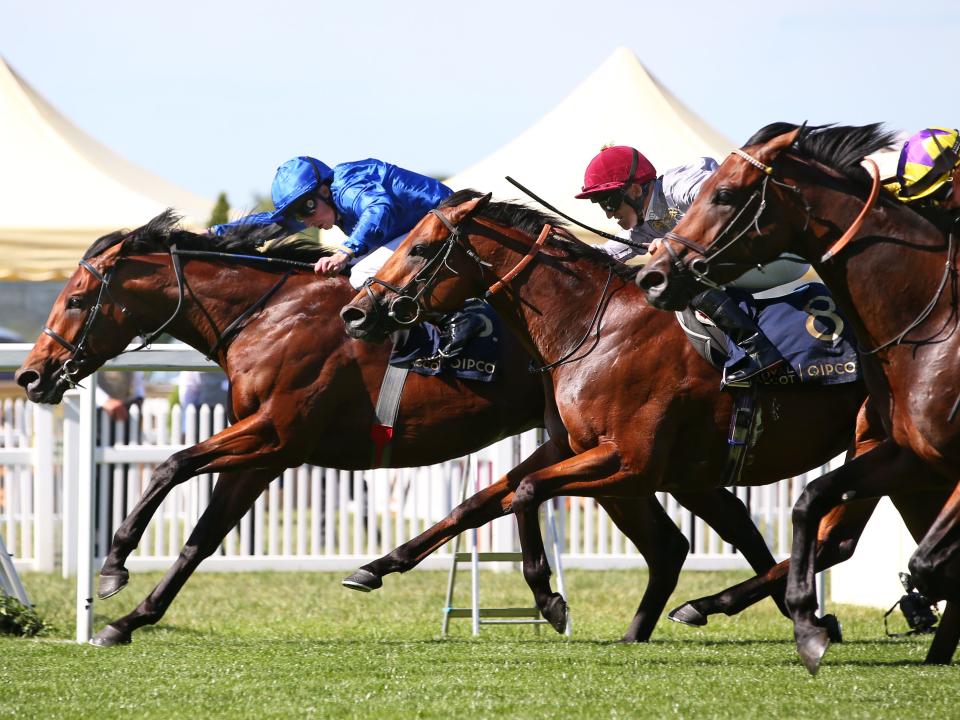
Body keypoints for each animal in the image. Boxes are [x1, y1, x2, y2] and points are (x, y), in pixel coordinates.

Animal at [15, 210, 792, 648]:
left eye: (77, 298)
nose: (29, 376)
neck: (268, 315)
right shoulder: (264, 450)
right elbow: (200, 539)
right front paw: (126, 620)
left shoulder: (278, 433)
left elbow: (171, 464)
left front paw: (113, 566)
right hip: (628, 455)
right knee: (689, 536)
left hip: (621, 454)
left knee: (678, 535)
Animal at [338, 190, 872, 640]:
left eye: (420, 249)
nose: (355, 313)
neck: (597, 327)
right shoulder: (570, 446)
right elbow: (480, 502)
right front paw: (377, 565)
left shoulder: (631, 462)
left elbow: (524, 493)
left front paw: (549, 599)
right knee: (821, 539)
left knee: (828, 539)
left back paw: (712, 606)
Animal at [636, 121, 960, 672]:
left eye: (724, 194)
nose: (651, 277)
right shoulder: (908, 452)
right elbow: (809, 503)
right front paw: (808, 623)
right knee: (841, 537)